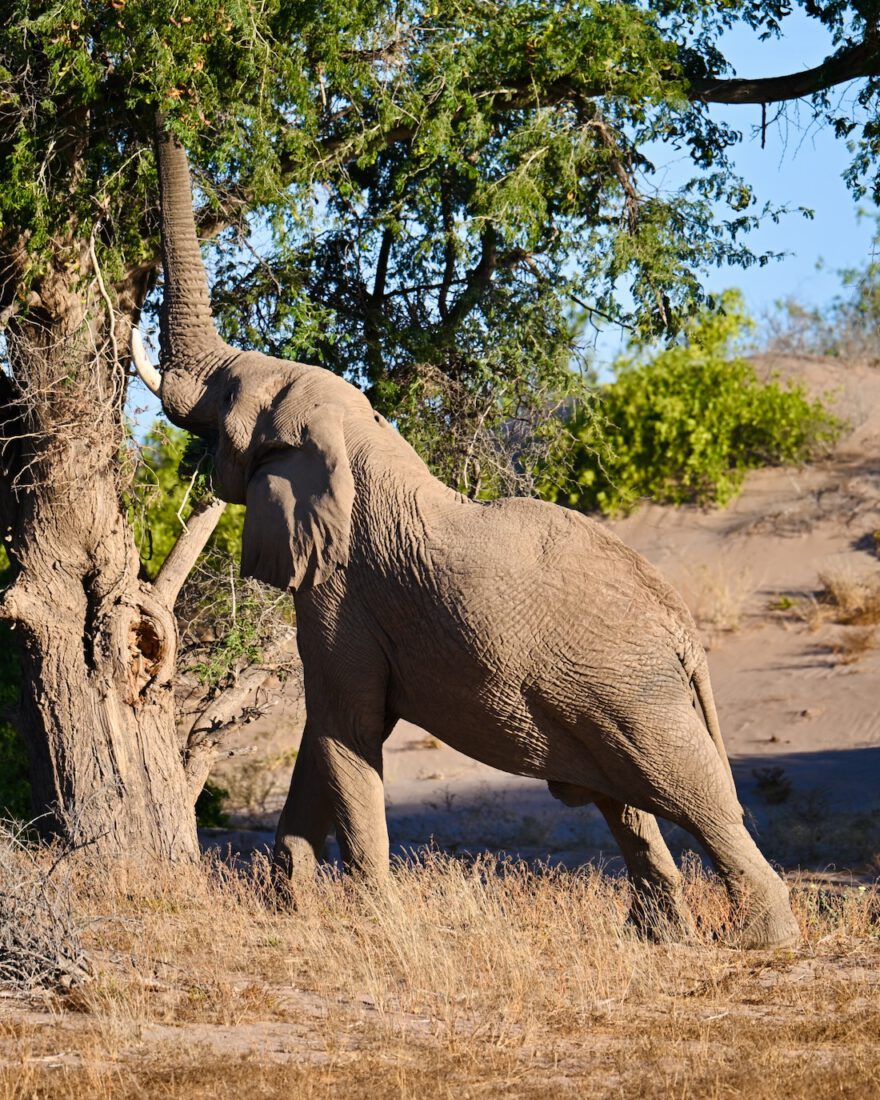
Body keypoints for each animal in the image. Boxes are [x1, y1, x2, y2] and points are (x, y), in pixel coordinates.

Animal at [133, 120, 800, 949]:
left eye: (226, 400)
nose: (164, 106)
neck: (362, 440)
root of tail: (684, 631)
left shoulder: (344, 599)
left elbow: (344, 731)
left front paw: (376, 924)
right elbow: (326, 741)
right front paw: (289, 907)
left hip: (633, 693)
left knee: (696, 799)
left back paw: (759, 940)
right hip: (608, 691)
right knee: (628, 806)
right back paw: (658, 937)